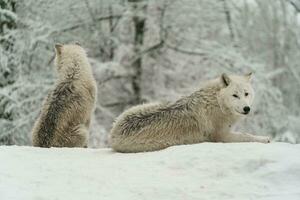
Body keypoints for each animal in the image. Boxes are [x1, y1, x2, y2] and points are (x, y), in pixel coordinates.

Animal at [109, 72, 270, 152]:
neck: (217, 102)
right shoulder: (221, 136)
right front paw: (265, 139)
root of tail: (114, 131)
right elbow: (246, 135)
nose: (247, 108)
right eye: (235, 95)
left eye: (246, 94)